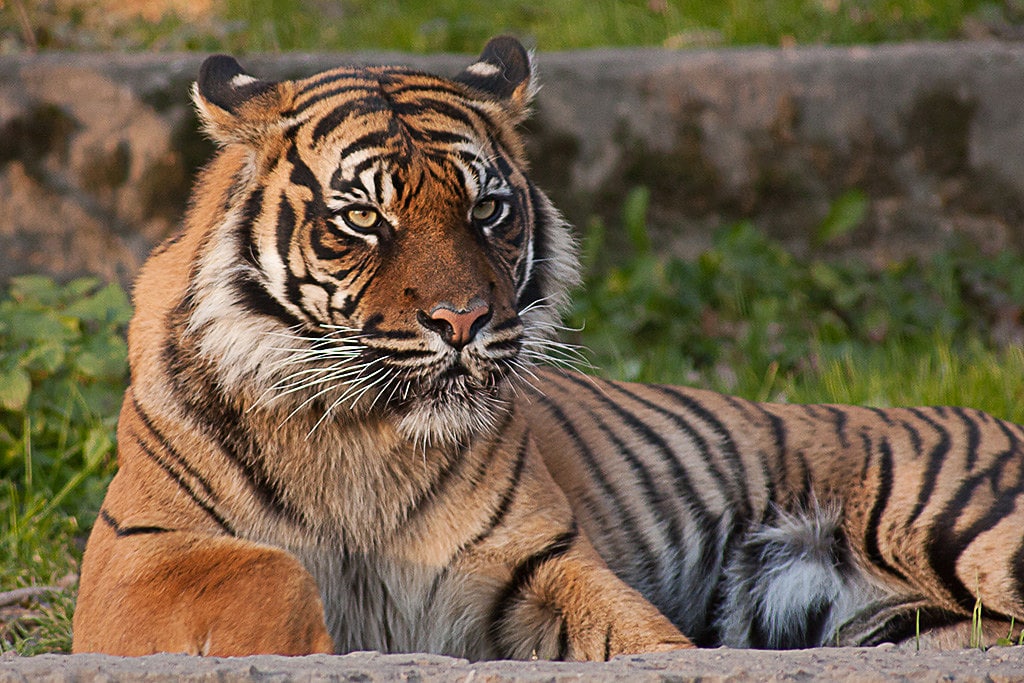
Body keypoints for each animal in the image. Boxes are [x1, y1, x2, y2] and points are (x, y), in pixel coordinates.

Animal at [72, 36, 1024, 659]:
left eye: (487, 208)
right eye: (365, 218)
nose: (462, 320)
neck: (362, 437)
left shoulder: (540, 564)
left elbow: (647, 640)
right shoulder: (131, 558)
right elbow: (263, 571)